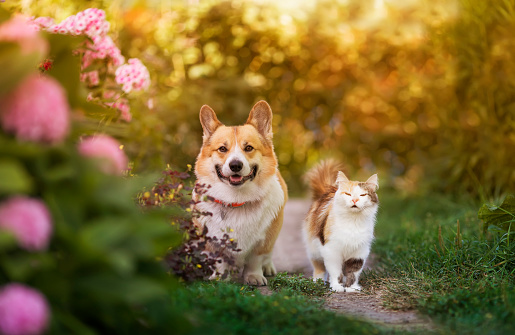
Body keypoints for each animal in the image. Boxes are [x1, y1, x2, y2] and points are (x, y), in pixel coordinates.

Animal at [194, 100, 290, 286]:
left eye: (249, 148)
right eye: (222, 149)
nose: (235, 165)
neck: (236, 199)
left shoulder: (263, 240)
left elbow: (255, 259)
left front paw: (254, 276)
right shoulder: (213, 242)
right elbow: (220, 260)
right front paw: (220, 277)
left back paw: (268, 268)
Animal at [302, 161, 378, 292]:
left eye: (363, 195)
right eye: (348, 194)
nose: (354, 200)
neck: (353, 221)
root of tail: (328, 190)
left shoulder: (359, 253)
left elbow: (353, 273)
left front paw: (351, 288)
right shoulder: (332, 251)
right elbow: (336, 272)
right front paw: (337, 287)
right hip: (314, 250)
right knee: (319, 268)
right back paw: (318, 282)